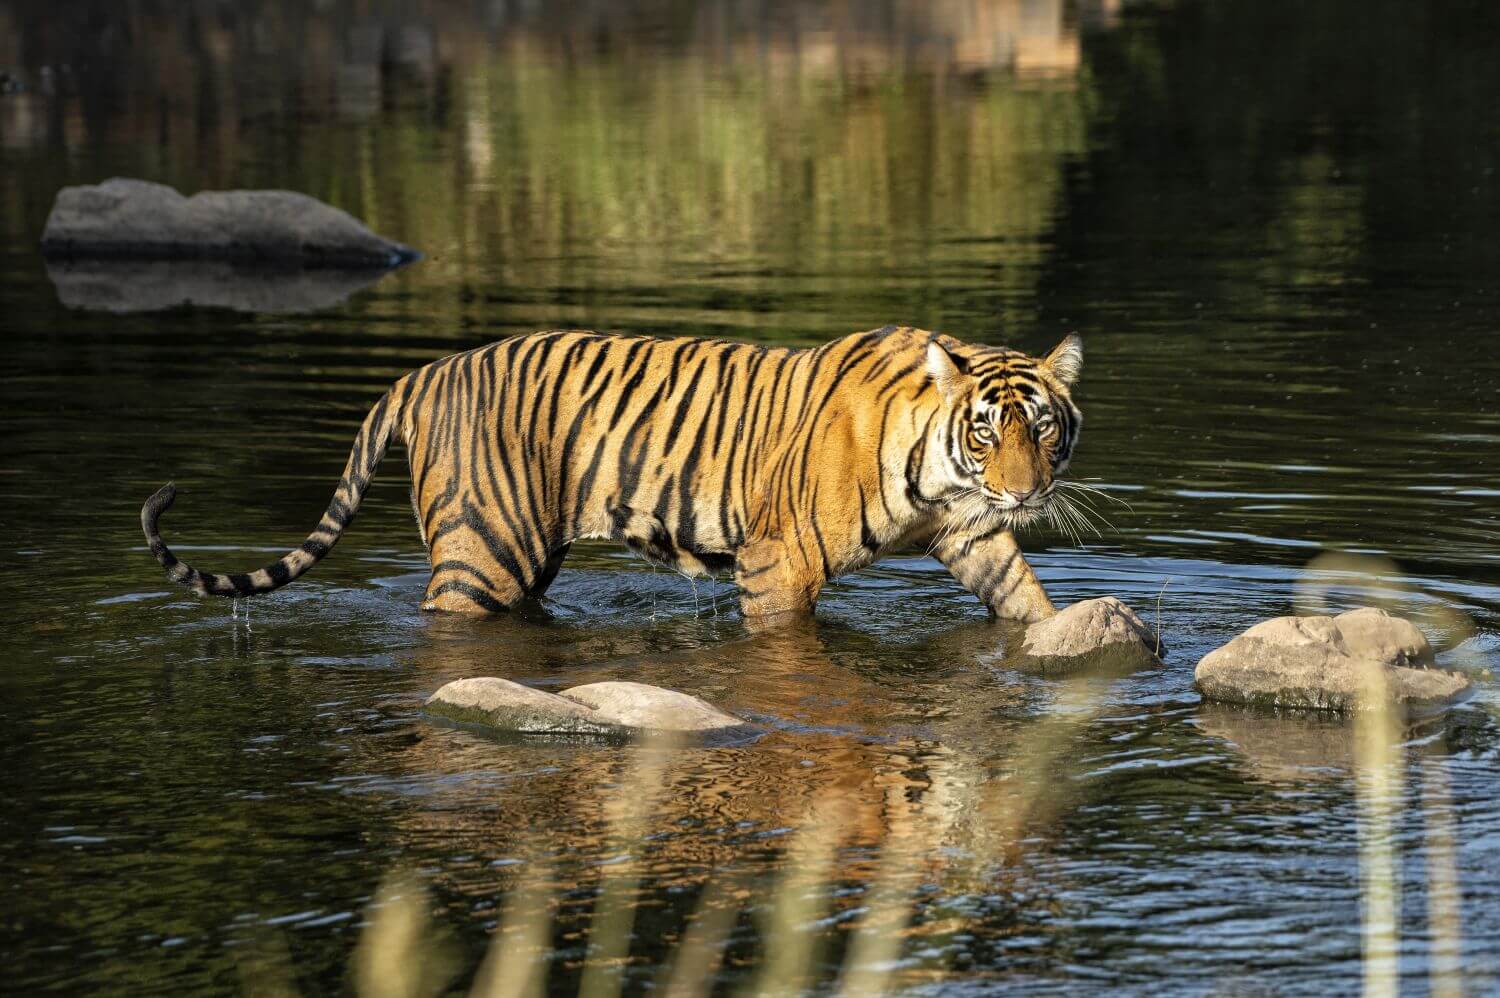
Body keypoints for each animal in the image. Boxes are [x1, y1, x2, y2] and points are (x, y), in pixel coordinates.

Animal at [142, 325, 1083, 624]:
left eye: (1041, 427)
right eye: (986, 430)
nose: (1024, 492)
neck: (941, 471)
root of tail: (426, 373)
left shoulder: (969, 533)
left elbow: (1021, 594)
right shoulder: (780, 563)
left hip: (525, 558)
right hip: (482, 555)